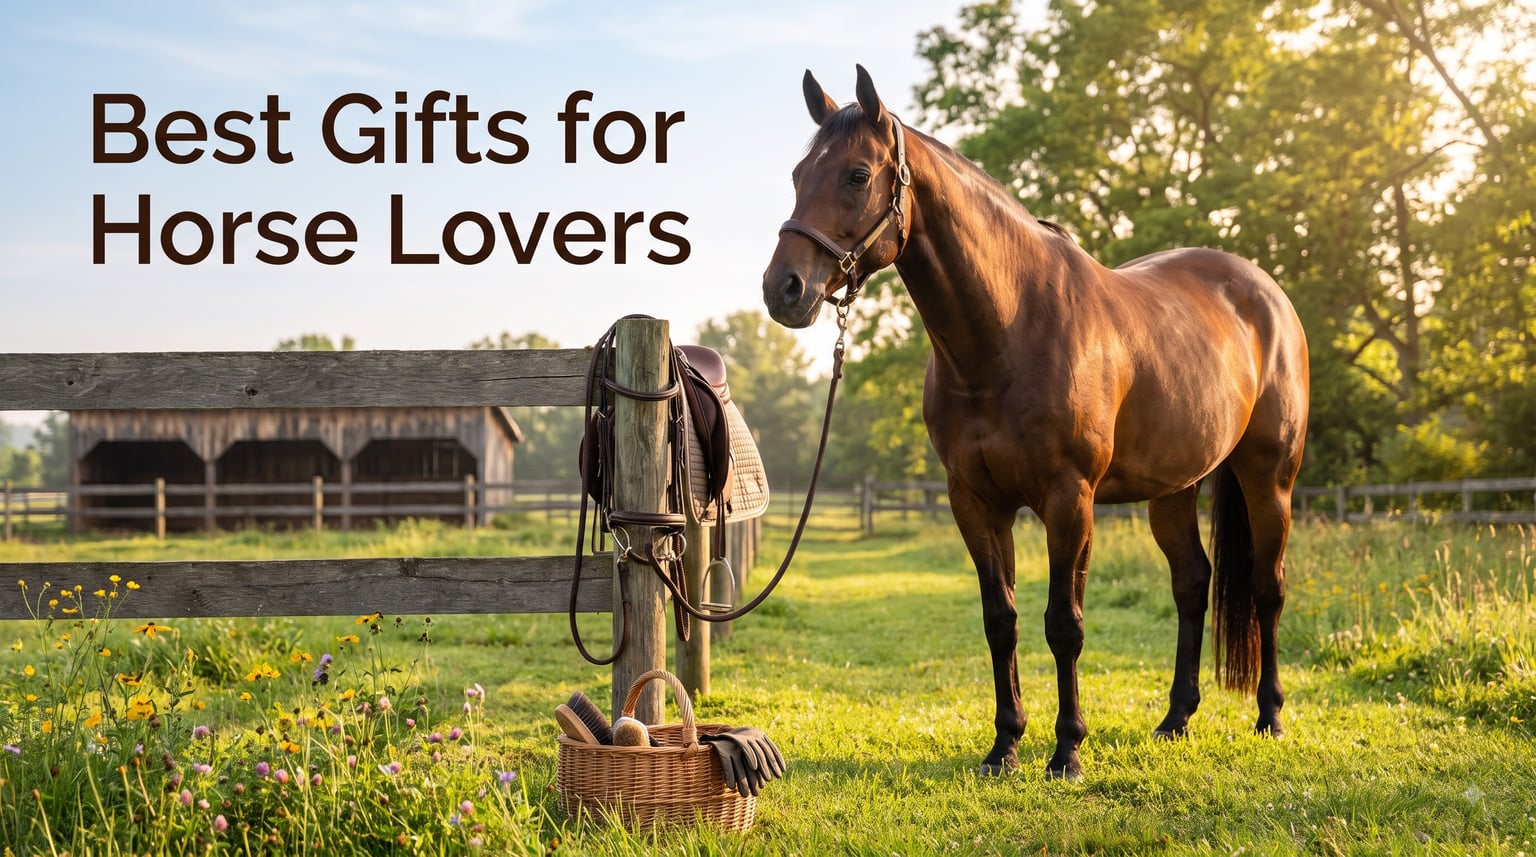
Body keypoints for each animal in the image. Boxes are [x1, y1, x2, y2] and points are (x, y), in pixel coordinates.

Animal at [761, 66, 1310, 779]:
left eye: (857, 175)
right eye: (800, 173)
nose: (784, 289)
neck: (1007, 332)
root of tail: (1264, 292)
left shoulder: (1068, 499)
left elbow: (1064, 624)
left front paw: (1067, 749)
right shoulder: (975, 501)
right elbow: (1002, 619)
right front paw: (1004, 745)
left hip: (1269, 478)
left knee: (1268, 589)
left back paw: (1269, 715)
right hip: (1175, 488)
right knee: (1192, 584)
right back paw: (1174, 720)